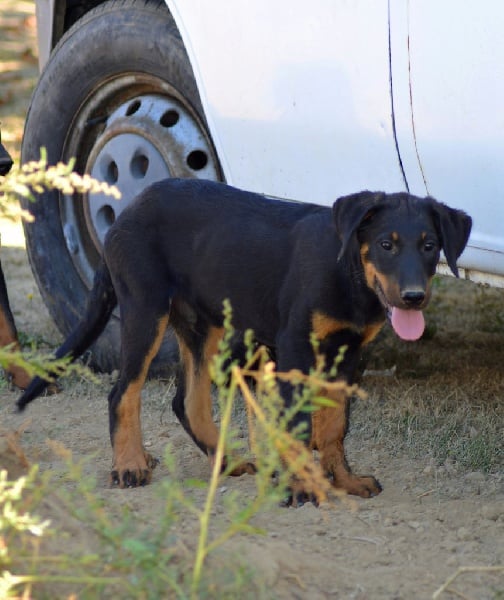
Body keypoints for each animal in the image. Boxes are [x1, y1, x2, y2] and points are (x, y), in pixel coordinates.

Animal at [16, 178, 472, 496]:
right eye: (385, 245)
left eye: (430, 246)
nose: (413, 297)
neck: (349, 275)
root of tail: (125, 212)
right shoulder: (294, 348)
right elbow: (299, 426)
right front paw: (302, 487)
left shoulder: (346, 354)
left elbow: (333, 425)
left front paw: (344, 481)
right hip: (146, 309)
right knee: (123, 392)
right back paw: (130, 465)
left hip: (206, 326)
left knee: (188, 401)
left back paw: (228, 463)